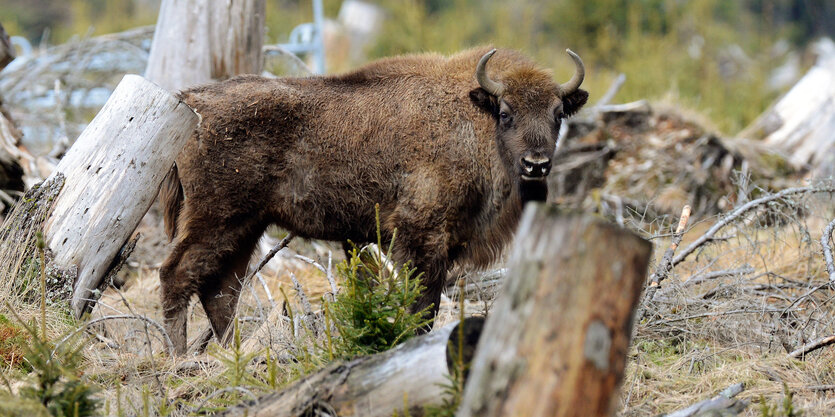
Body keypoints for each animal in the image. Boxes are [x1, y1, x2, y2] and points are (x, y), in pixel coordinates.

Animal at [158, 47, 588, 352]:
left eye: (558, 114)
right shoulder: (420, 237)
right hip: (214, 219)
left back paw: (235, 357)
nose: (536, 164)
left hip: (246, 226)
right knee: (176, 276)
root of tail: (188, 100)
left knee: (221, 291)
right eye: (505, 113)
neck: (470, 117)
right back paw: (180, 361)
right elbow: (420, 305)